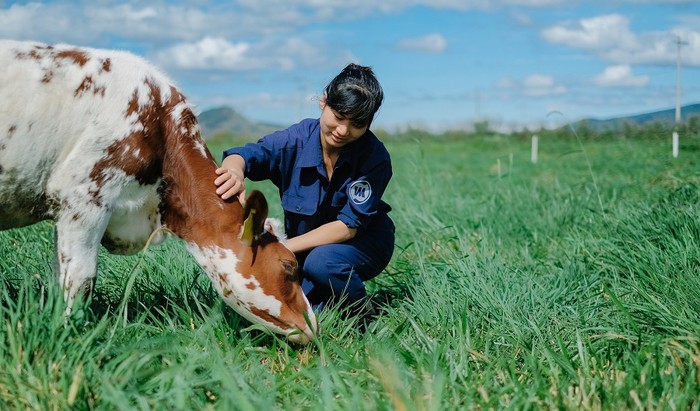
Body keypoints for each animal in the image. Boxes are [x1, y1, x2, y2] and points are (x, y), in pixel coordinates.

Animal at [0, 40, 318, 346]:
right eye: (289, 266)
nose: (314, 325)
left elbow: (60, 275)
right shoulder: (84, 196)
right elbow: (79, 279)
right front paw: (69, 335)